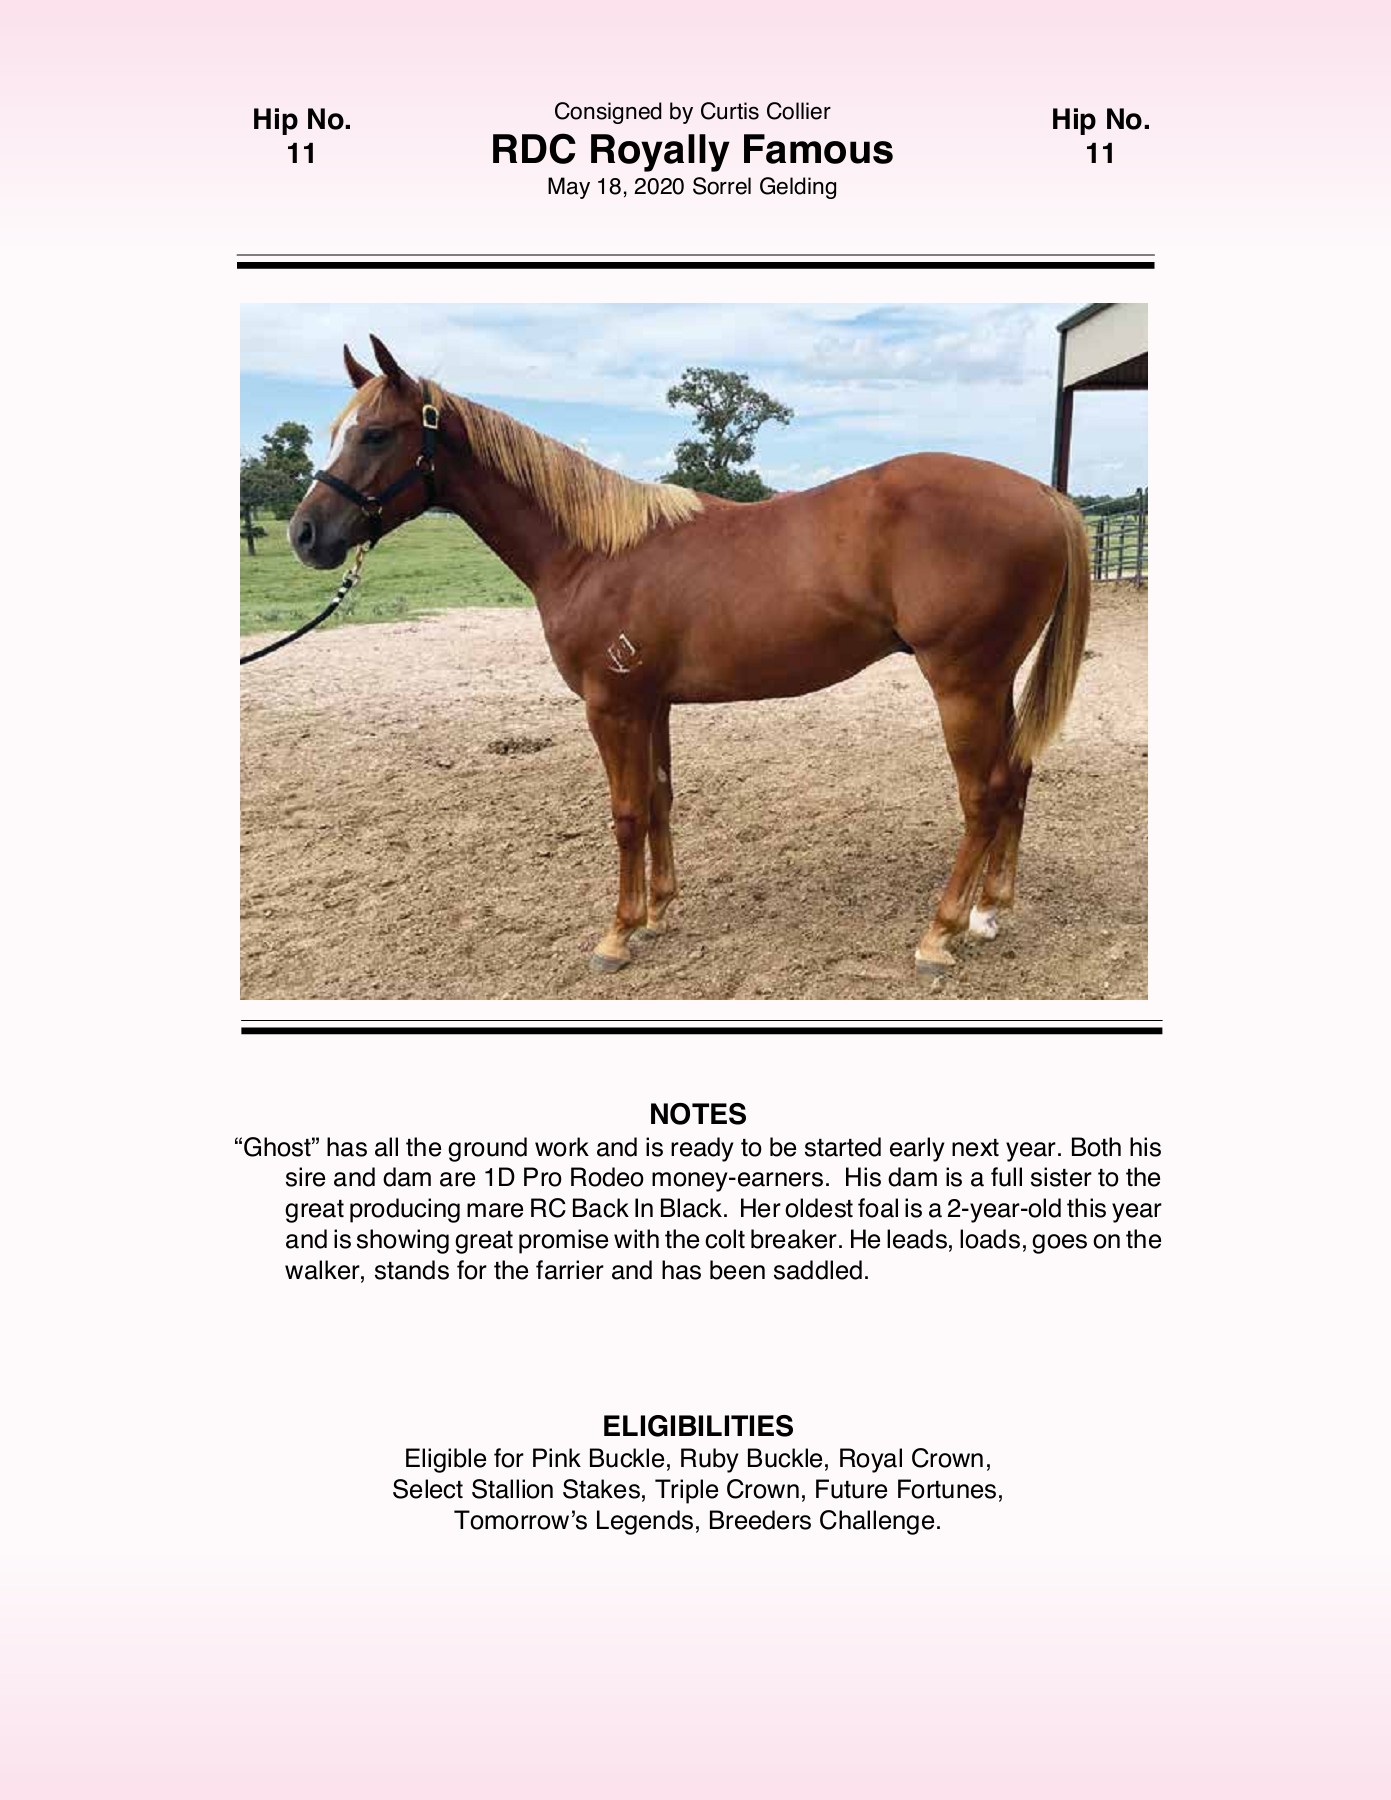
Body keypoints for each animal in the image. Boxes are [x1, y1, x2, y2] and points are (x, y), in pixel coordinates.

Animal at [287, 336, 1091, 979]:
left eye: (376, 434)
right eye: (336, 432)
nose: (305, 535)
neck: (593, 550)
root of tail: (1043, 495)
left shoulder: (610, 706)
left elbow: (624, 813)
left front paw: (616, 934)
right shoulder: (651, 702)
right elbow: (659, 798)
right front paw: (657, 912)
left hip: (962, 683)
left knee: (982, 796)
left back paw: (939, 934)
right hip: (995, 682)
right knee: (1015, 778)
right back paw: (989, 912)